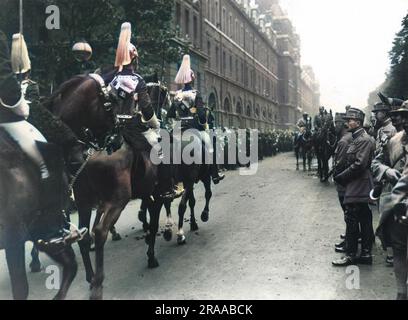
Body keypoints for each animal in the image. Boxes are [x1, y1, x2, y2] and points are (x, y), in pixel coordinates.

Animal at [48, 73, 167, 300]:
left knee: (85, 236)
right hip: (117, 200)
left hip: (85, 201)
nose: (116, 135)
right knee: (99, 231)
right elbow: (153, 221)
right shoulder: (152, 193)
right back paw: (97, 285)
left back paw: (90, 277)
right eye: (161, 92)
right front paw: (151, 255)